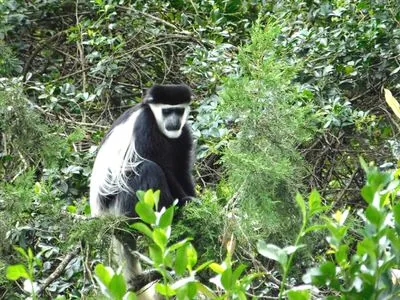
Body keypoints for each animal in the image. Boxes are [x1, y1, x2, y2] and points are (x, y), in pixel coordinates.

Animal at [89, 84, 195, 288]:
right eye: (167, 111)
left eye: (179, 111)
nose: (173, 122)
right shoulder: (145, 125)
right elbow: (160, 165)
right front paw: (185, 203)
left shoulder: (183, 134)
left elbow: (181, 171)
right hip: (121, 205)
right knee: (147, 168)